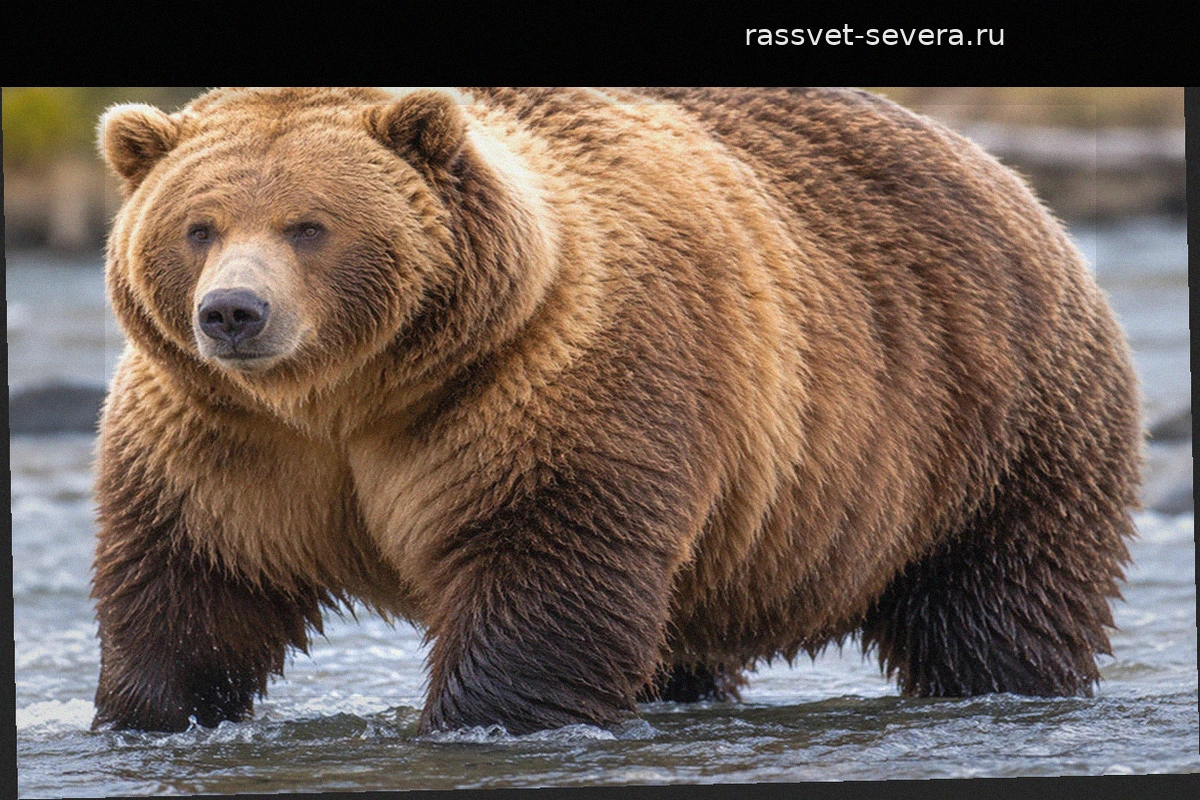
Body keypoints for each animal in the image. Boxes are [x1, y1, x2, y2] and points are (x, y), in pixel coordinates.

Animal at [90, 87, 1142, 735]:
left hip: (992, 423)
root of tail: (1005, 176)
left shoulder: (543, 394)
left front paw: (478, 717)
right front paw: (145, 714)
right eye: (198, 226)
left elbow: (545, 565)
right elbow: (190, 583)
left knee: (1000, 601)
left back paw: (1013, 689)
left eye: (309, 225)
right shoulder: (226, 441)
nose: (234, 312)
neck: (351, 396)